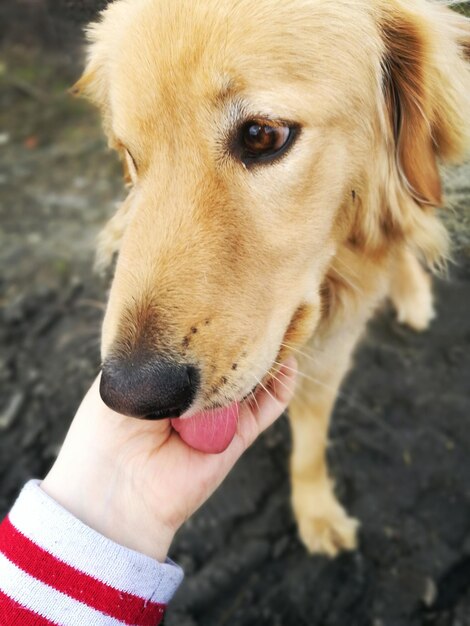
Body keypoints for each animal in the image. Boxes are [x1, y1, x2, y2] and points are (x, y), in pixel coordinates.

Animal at [73, 0, 470, 552]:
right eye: (130, 153)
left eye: (263, 135)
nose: (132, 395)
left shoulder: (333, 352)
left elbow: (310, 446)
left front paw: (316, 509)